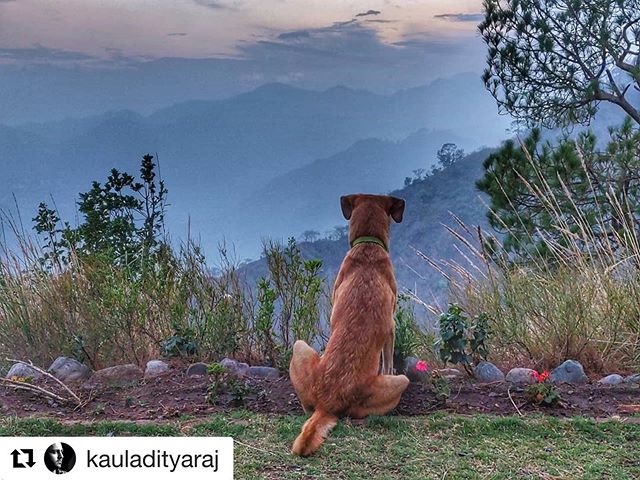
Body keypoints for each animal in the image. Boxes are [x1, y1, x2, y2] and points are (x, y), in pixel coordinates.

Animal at [290, 192, 410, 458]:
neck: (368, 246)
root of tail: (328, 401)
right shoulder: (391, 327)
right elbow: (388, 361)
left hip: (300, 349)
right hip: (399, 383)